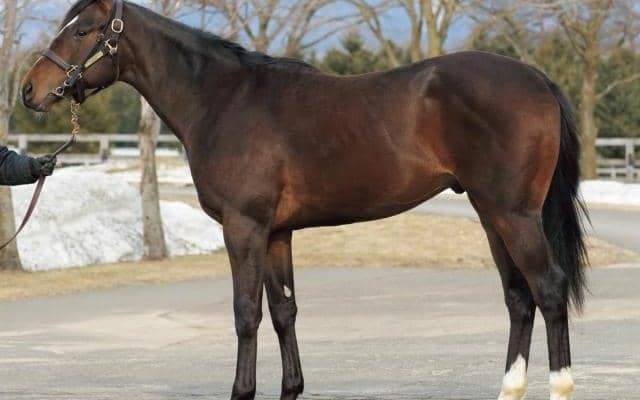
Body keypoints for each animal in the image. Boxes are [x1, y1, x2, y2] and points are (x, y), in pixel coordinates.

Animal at [21, 1, 588, 399]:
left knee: (548, 289)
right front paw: (290, 387)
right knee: (519, 299)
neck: (222, 100)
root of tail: (537, 78)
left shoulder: (243, 227)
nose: (29, 90)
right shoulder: (276, 233)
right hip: (491, 215)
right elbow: (284, 312)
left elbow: (246, 312)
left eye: (81, 30)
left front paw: (242, 391)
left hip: (514, 215)